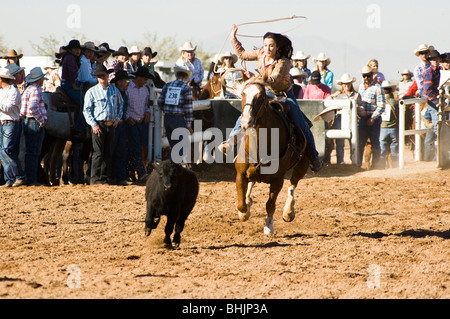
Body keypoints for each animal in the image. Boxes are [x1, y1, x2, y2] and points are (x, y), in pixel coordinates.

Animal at [232, 80, 310, 235]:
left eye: (261, 97)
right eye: (243, 94)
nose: (246, 122)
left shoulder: (277, 180)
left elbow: (270, 204)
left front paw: (268, 227)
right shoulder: (240, 174)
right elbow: (241, 203)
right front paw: (244, 212)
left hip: (303, 164)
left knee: (292, 185)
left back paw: (288, 212)